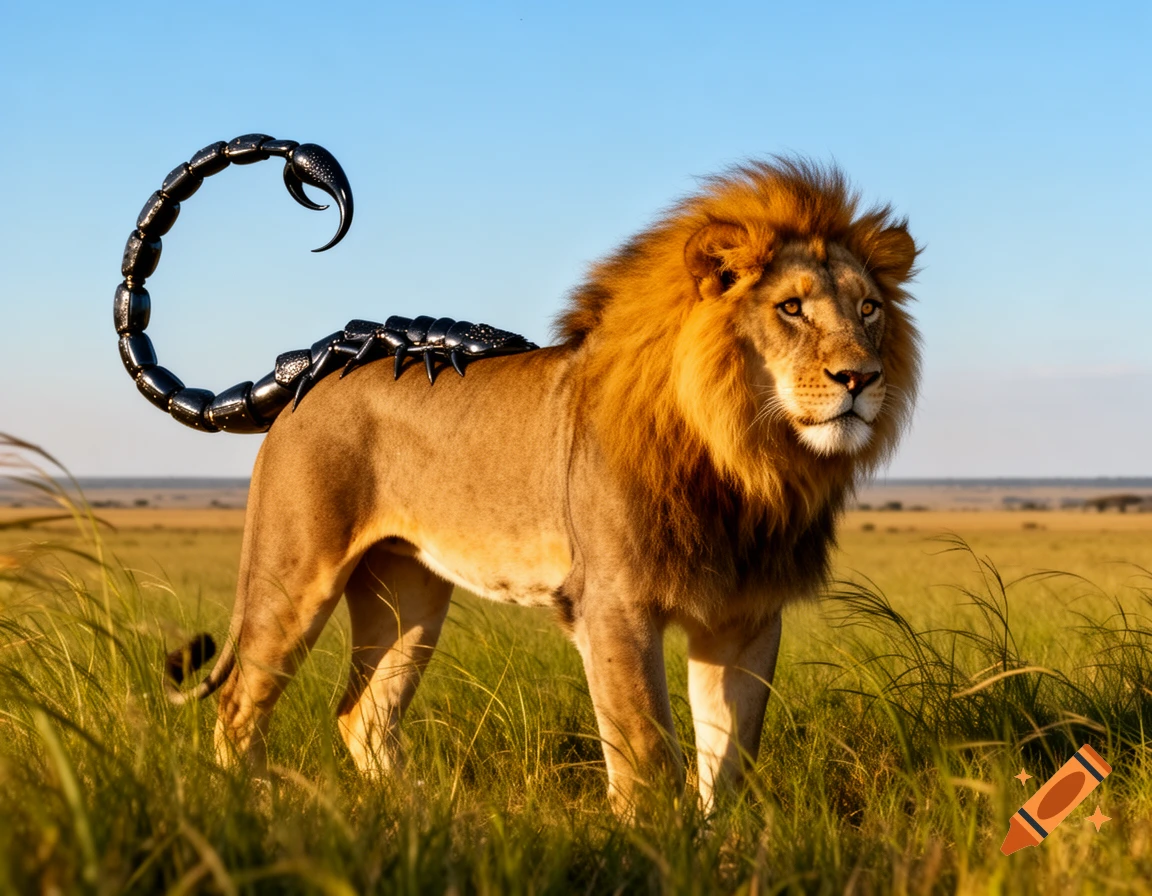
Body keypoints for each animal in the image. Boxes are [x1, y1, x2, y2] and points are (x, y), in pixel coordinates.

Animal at [162, 156, 920, 813]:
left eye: (869, 310)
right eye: (791, 308)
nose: (862, 378)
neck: (749, 460)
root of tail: (307, 383)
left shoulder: (747, 615)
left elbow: (729, 761)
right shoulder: (615, 604)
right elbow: (648, 755)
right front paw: (652, 852)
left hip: (407, 593)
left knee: (361, 714)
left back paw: (426, 819)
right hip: (295, 572)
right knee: (239, 705)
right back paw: (253, 811)